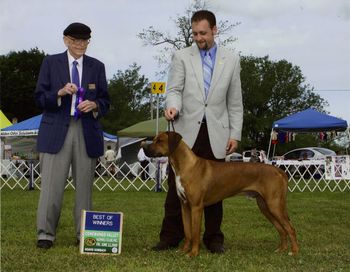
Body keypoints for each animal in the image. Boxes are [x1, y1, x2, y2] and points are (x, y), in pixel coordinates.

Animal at [142, 132, 298, 258]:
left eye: (159, 140)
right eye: (154, 139)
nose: (143, 148)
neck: (185, 166)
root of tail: (279, 170)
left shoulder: (196, 207)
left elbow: (195, 232)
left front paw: (193, 254)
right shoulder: (185, 206)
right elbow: (187, 233)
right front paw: (183, 251)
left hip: (274, 205)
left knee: (290, 228)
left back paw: (294, 252)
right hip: (265, 206)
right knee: (282, 229)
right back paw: (281, 250)